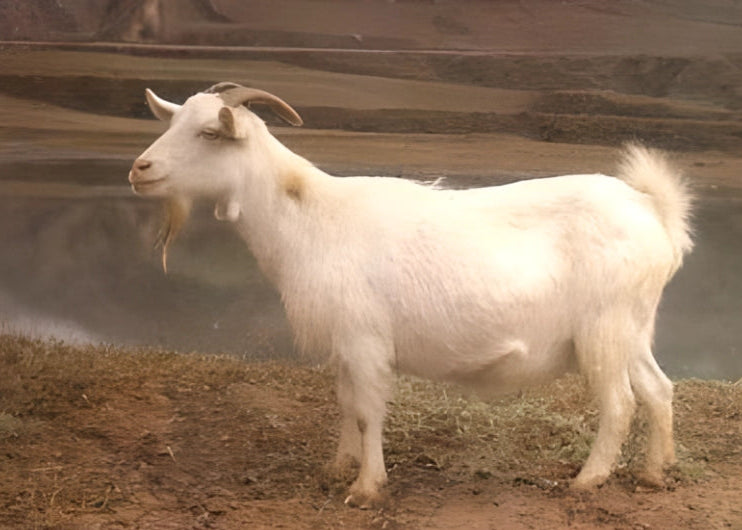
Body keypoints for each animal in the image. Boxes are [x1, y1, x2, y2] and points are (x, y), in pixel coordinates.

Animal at [129, 83, 693, 508]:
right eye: (171, 123)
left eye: (209, 133)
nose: (139, 170)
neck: (310, 218)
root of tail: (652, 209)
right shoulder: (345, 345)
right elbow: (345, 403)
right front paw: (338, 466)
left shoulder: (365, 341)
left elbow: (367, 411)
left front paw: (365, 488)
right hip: (632, 328)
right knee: (658, 389)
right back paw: (655, 471)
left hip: (603, 328)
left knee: (619, 402)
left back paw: (588, 479)